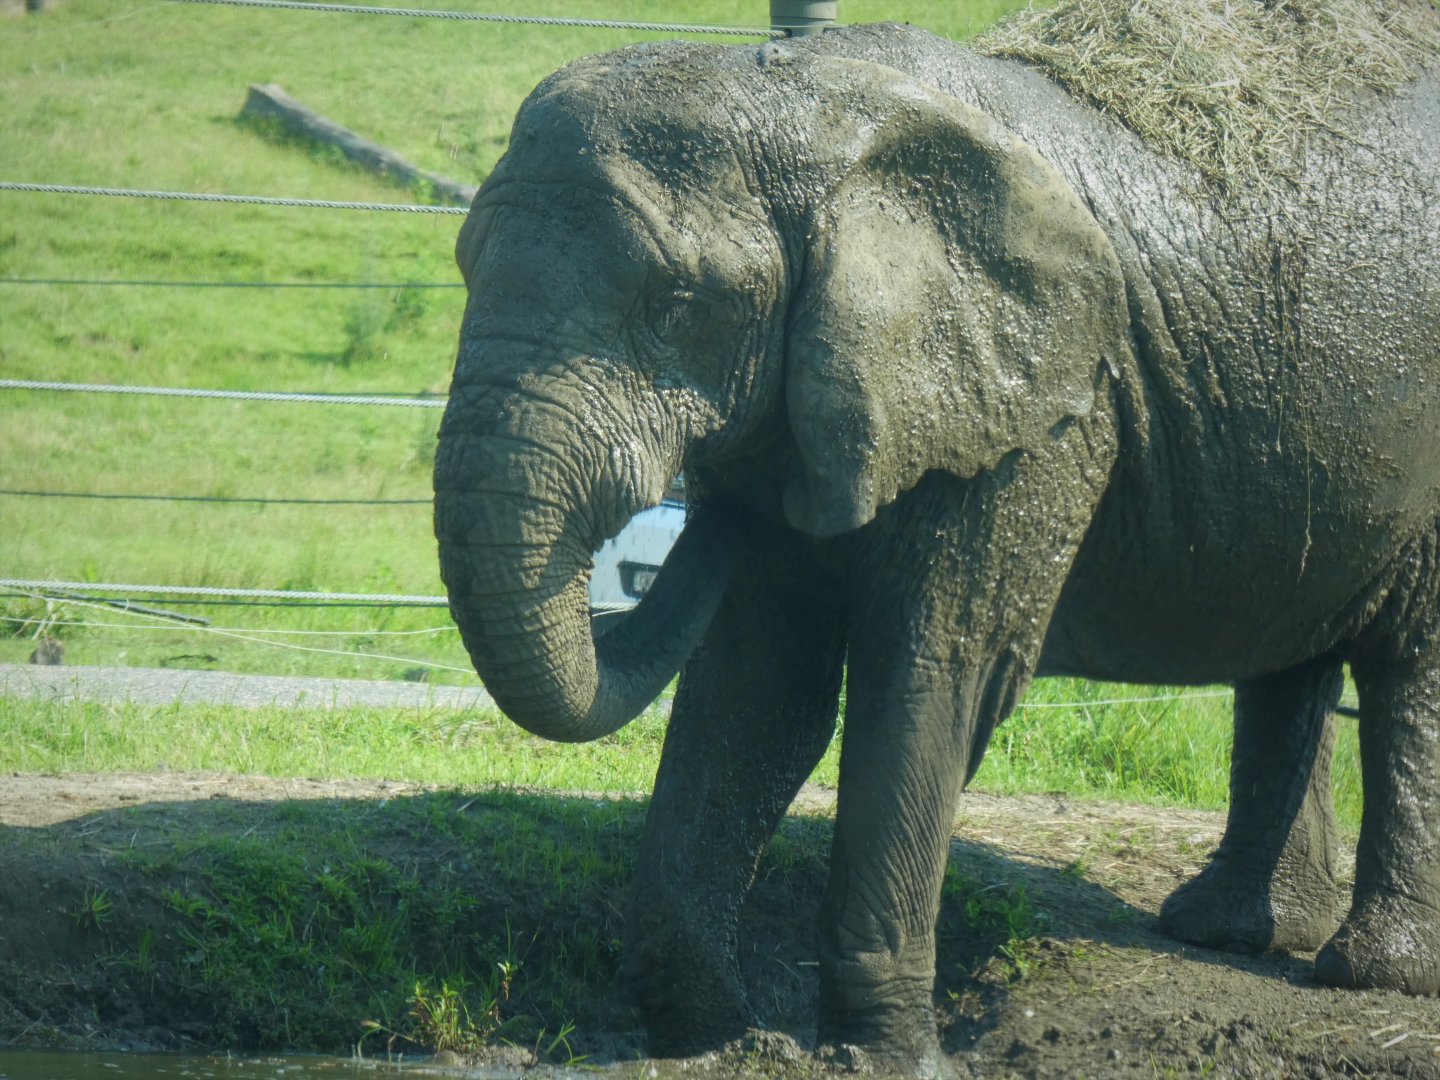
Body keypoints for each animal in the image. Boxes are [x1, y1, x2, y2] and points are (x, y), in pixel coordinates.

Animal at [433, 6, 1440, 1075]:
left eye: (676, 308)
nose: (700, 512)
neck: (825, 103)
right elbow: (759, 690)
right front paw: (713, 1036)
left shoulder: (1043, 420)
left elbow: (933, 675)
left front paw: (887, 1060)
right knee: (1291, 651)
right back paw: (1227, 931)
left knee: (1408, 666)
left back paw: (1370, 972)